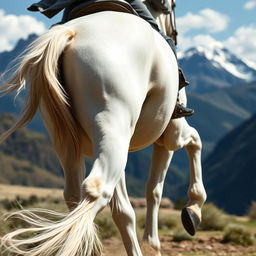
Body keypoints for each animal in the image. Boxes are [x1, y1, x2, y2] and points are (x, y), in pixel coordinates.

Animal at [0, 2, 205, 256]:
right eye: (173, 6)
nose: (174, 34)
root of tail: (70, 34)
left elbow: (125, 210)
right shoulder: (170, 136)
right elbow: (160, 182)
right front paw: (192, 210)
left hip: (71, 144)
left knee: (75, 197)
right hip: (115, 131)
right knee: (96, 190)